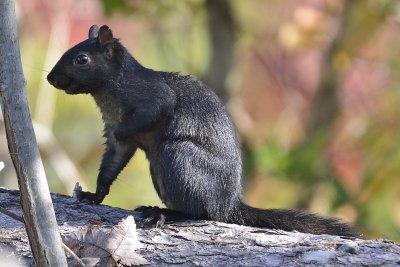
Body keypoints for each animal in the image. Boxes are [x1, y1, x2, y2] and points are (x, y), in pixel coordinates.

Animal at [47, 25, 356, 238]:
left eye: (82, 59)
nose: (50, 78)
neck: (108, 92)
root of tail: (228, 204)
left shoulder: (151, 97)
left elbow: (154, 112)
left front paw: (126, 131)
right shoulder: (114, 137)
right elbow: (111, 163)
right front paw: (94, 195)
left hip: (178, 156)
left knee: (202, 213)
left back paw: (162, 214)